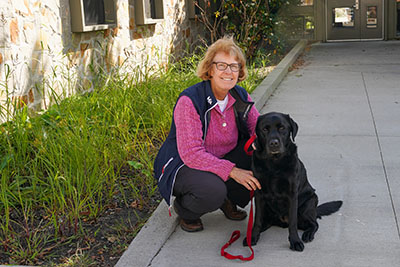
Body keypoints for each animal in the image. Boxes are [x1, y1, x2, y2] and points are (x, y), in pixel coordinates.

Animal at [245, 113, 342, 253]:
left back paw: (308, 234)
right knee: (265, 221)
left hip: (308, 203)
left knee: (314, 223)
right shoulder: (258, 193)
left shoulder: (292, 194)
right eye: (265, 129)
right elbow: (257, 220)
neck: (274, 163)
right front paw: (252, 237)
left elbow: (293, 222)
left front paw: (295, 241)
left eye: (282, 128)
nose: (274, 143)